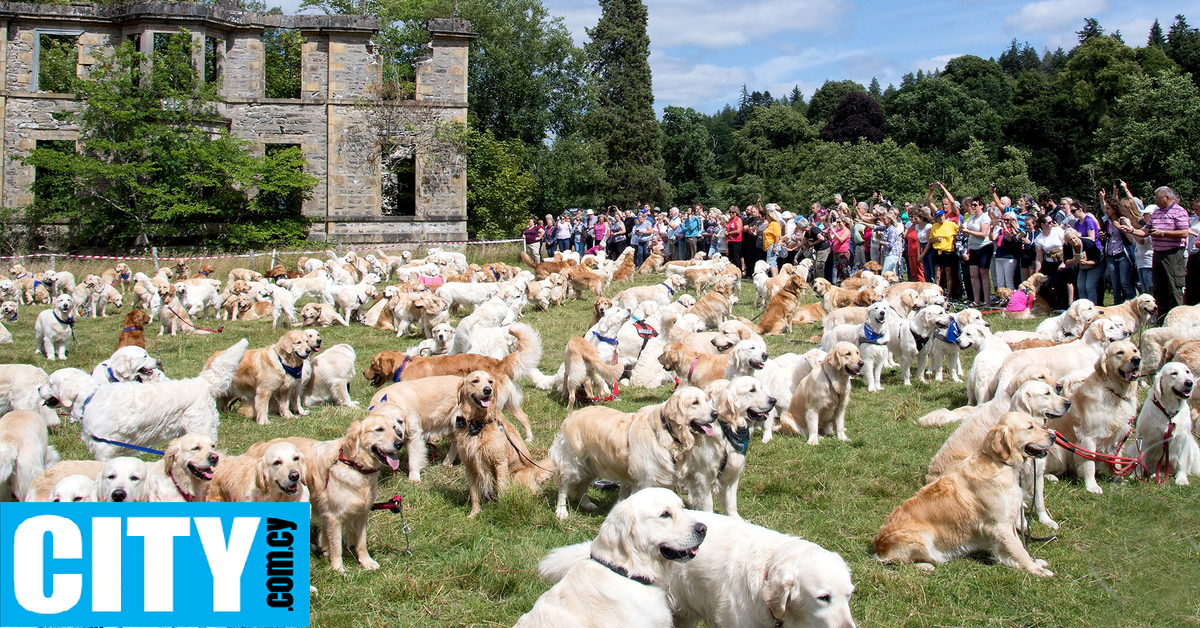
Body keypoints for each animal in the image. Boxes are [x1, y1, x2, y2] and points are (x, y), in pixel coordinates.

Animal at [873, 415, 1051, 578]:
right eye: (1030, 427)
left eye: (1037, 424)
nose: (1052, 436)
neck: (999, 463)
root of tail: (878, 547)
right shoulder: (998, 525)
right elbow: (1019, 549)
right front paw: (1035, 569)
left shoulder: (1008, 520)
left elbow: (1017, 545)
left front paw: (1032, 562)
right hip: (920, 538)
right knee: (900, 562)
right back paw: (925, 565)